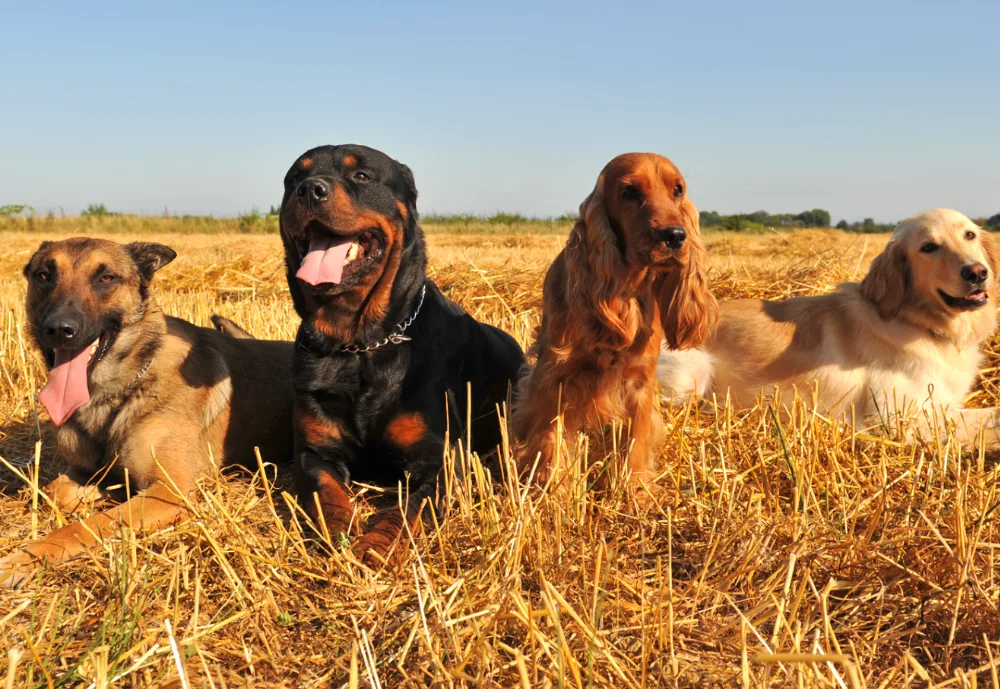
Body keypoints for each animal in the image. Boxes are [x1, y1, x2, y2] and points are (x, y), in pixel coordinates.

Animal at [0, 238, 294, 584]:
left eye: (106, 278)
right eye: (44, 275)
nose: (59, 329)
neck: (121, 391)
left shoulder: (168, 492)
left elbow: (84, 527)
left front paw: (23, 559)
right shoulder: (84, 471)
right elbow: (54, 490)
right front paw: (101, 491)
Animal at [274, 142, 524, 560]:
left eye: (361, 175)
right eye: (294, 178)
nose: (309, 189)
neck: (359, 343)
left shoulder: (440, 461)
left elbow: (408, 510)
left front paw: (375, 544)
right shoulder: (313, 452)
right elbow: (326, 492)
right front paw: (340, 528)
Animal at [516, 155, 720, 490]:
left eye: (677, 189)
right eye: (629, 192)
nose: (676, 235)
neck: (624, 290)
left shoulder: (640, 380)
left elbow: (636, 440)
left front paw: (635, 490)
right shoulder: (554, 375)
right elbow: (549, 437)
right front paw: (551, 488)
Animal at [656, 207, 1000, 444]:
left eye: (969, 235)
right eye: (928, 247)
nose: (977, 272)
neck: (914, 321)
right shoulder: (898, 419)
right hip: (694, 371)